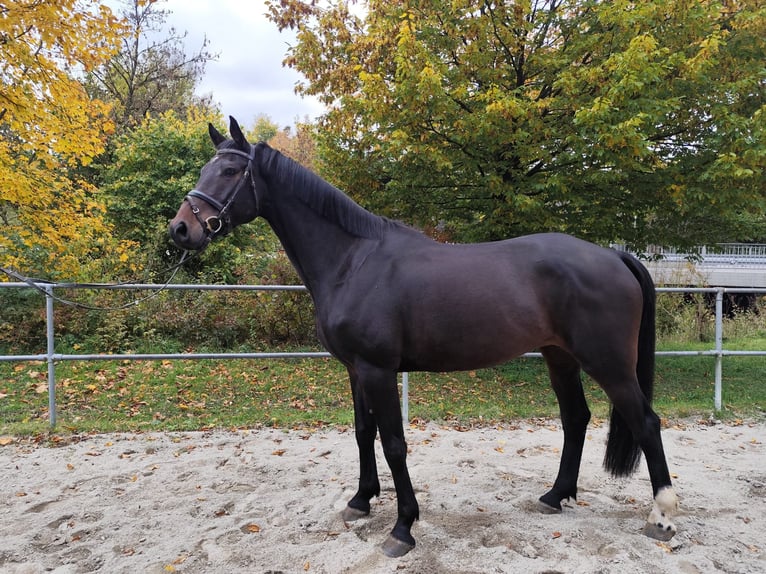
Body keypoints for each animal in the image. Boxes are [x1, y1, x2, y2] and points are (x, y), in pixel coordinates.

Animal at [169, 116, 679, 557]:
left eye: (230, 170)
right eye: (206, 169)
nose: (181, 229)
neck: (353, 260)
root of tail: (614, 256)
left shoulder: (378, 370)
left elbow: (394, 443)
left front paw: (402, 528)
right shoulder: (355, 370)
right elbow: (363, 433)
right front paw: (360, 501)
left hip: (609, 364)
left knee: (646, 423)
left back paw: (662, 517)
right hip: (560, 357)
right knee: (576, 418)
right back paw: (555, 496)